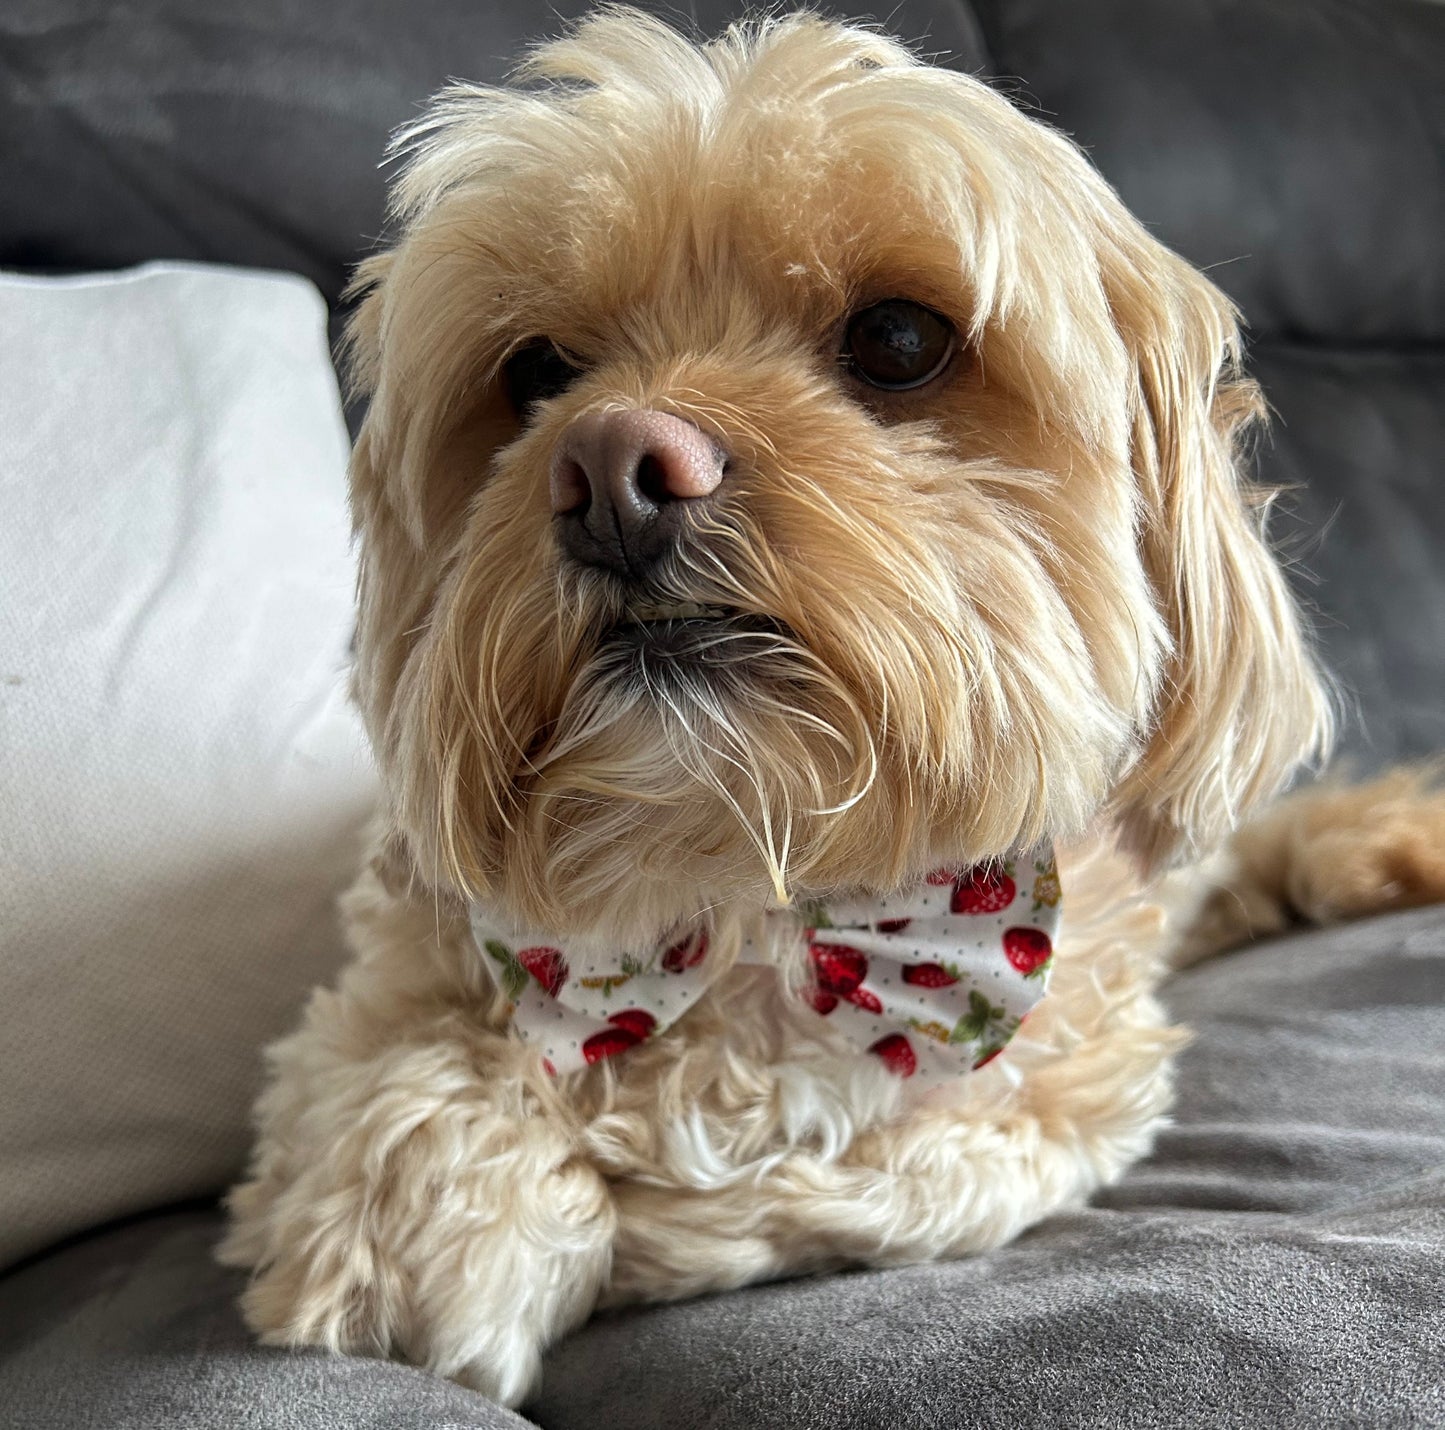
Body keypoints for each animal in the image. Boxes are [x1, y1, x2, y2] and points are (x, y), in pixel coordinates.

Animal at [216, 8, 1445, 1409]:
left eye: (899, 340)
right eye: (533, 372)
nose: (611, 468)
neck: (749, 883)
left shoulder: (1042, 1103)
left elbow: (818, 1185)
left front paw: (636, 1207)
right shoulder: (368, 1007)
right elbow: (392, 1096)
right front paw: (453, 1226)